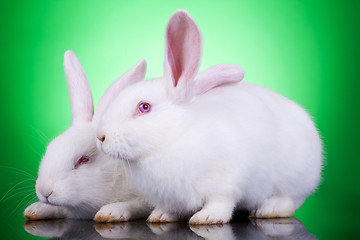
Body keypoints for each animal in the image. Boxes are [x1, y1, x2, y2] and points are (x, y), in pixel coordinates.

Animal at [23, 50, 150, 221]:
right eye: (48, 149)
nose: (45, 191)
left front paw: (109, 212)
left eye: (84, 159)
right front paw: (35, 209)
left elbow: (137, 204)